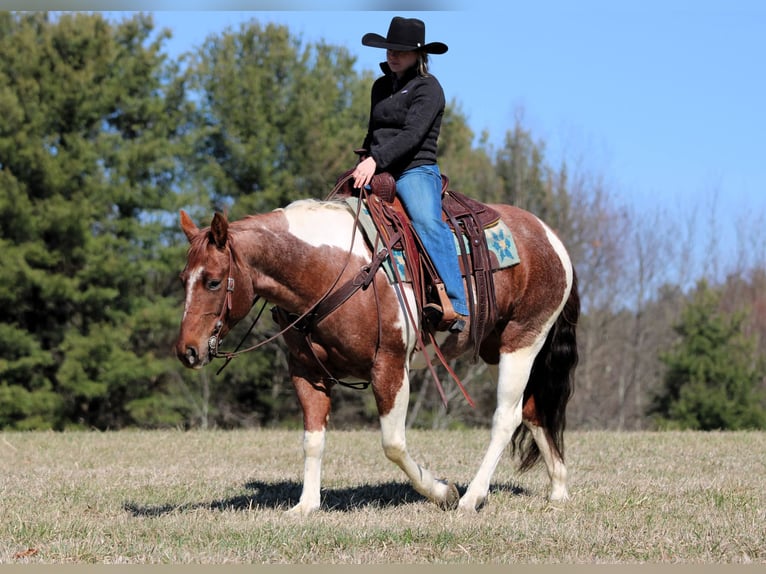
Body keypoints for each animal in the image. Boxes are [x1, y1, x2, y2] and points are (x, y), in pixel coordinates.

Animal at [174, 197, 579, 514]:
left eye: (213, 281)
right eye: (183, 279)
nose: (187, 350)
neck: (331, 271)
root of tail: (550, 238)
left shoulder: (390, 366)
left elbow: (393, 443)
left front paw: (442, 492)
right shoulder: (306, 372)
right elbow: (312, 439)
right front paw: (306, 505)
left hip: (522, 340)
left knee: (506, 417)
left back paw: (471, 498)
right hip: (499, 347)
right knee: (534, 411)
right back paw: (558, 489)